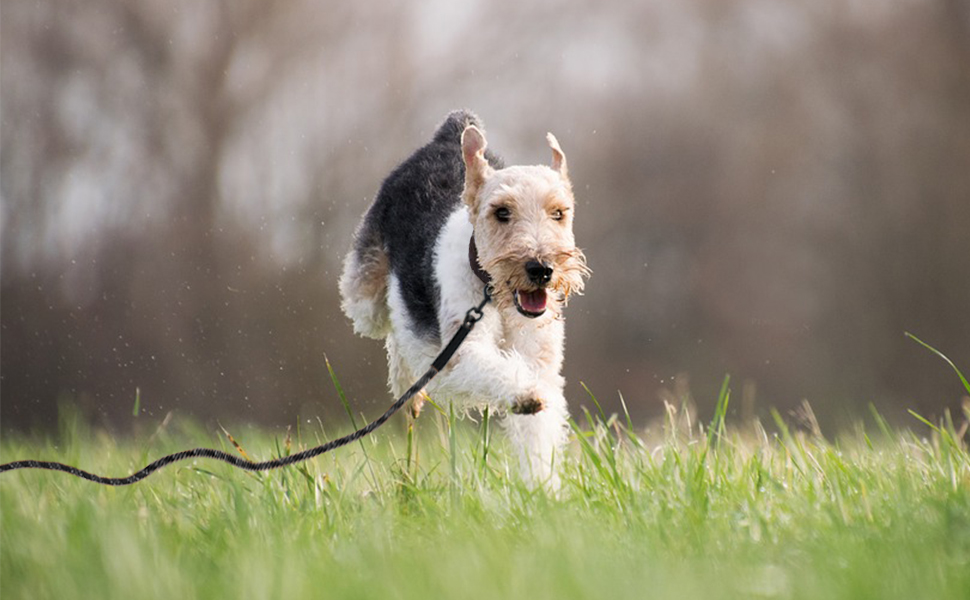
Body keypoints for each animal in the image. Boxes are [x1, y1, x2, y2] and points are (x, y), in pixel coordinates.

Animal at [336, 111, 588, 488]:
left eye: (559, 212)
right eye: (501, 212)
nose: (541, 269)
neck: (494, 296)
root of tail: (449, 132)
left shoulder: (541, 363)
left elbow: (539, 433)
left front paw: (543, 489)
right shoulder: (462, 351)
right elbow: (498, 370)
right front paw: (525, 395)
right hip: (365, 299)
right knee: (393, 326)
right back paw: (408, 388)